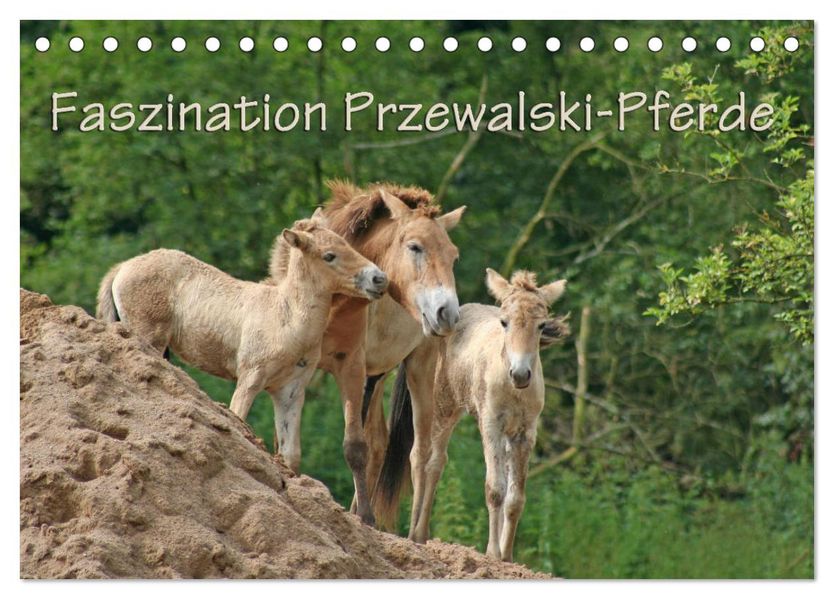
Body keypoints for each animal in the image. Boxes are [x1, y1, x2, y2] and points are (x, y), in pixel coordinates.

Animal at [95, 216, 388, 475]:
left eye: (346, 244)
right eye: (329, 256)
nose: (379, 279)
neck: (286, 317)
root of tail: (122, 267)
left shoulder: (290, 390)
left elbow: (289, 455)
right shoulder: (250, 379)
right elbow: (239, 419)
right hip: (148, 338)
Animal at [279, 181, 466, 526]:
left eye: (453, 257)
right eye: (415, 247)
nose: (447, 313)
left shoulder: (353, 369)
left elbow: (355, 445)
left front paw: (364, 517)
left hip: (417, 369)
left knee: (420, 455)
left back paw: (414, 533)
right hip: (376, 377)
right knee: (379, 443)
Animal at [375, 268, 570, 562]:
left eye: (541, 325)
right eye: (504, 322)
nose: (520, 374)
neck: (510, 386)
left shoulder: (524, 433)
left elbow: (515, 498)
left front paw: (507, 557)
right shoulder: (491, 426)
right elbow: (495, 490)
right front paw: (492, 553)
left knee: (438, 463)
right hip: (441, 408)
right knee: (426, 460)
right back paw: (416, 534)